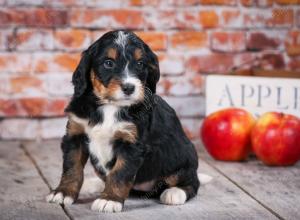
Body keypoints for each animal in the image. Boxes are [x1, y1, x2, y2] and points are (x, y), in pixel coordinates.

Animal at [47, 30, 200, 212]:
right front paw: (63, 193)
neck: (110, 106)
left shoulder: (131, 144)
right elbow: (72, 167)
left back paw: (174, 193)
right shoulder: (75, 135)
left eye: (140, 64)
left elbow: (119, 173)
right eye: (108, 63)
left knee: (191, 183)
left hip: (184, 158)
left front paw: (109, 200)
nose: (129, 88)